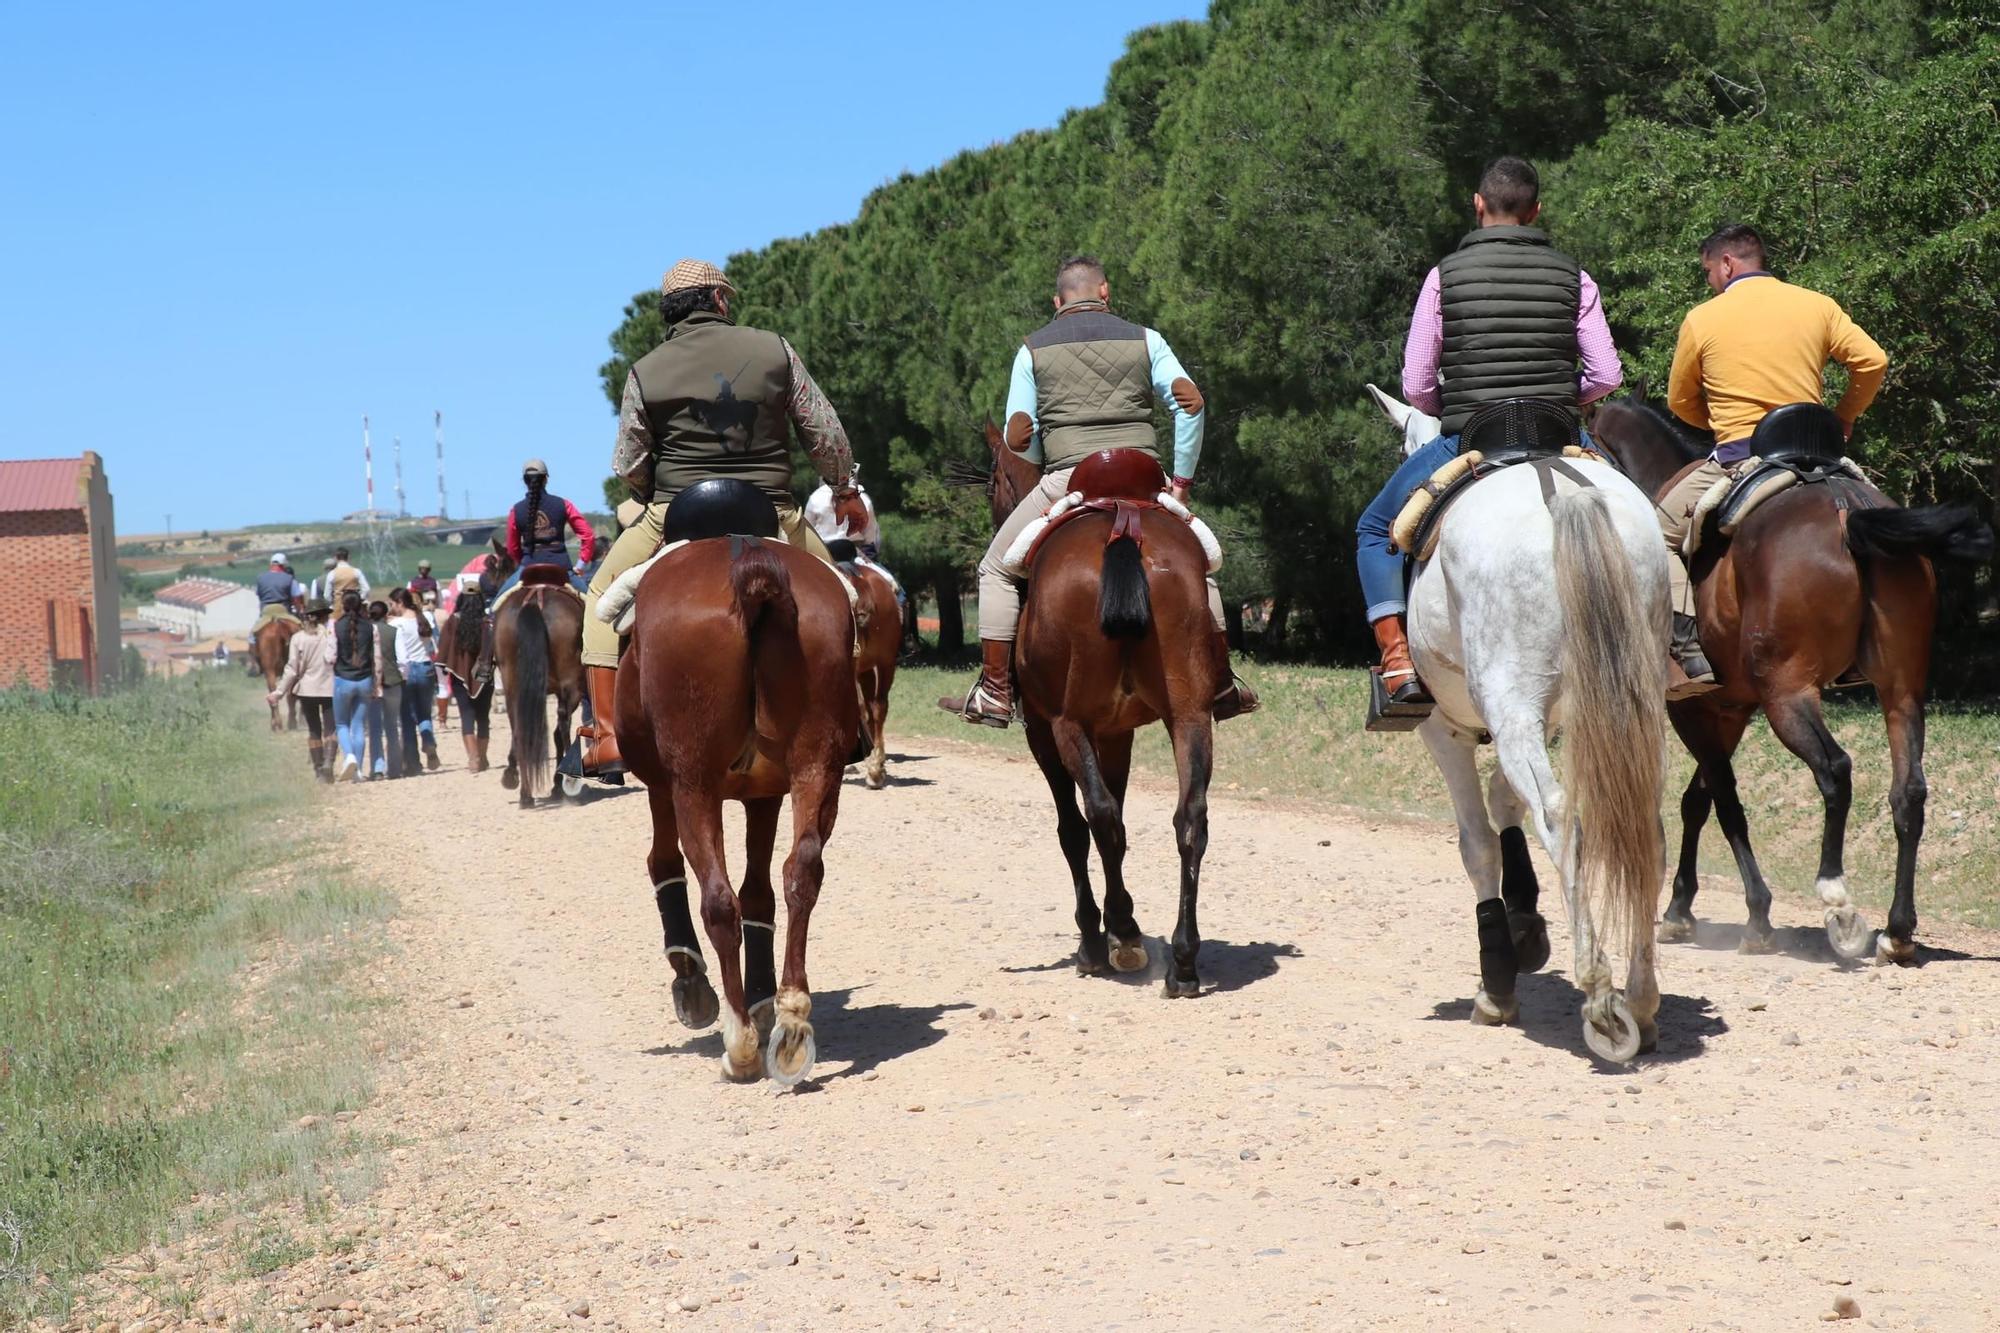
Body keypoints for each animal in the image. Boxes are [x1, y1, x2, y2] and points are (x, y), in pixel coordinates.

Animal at [488, 540, 588, 808]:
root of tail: (536, 598)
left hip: (515, 683)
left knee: (521, 725)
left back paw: (525, 791)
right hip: (569, 685)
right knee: (562, 725)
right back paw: (566, 784)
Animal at [612, 482, 856, 1088]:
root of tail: (746, 559)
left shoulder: (665, 786)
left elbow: (665, 864)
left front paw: (692, 982)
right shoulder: (765, 793)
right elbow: (761, 893)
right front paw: (767, 997)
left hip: (693, 783)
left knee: (718, 900)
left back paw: (740, 1042)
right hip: (818, 766)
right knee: (801, 872)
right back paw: (790, 1024)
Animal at [980, 420, 1216, 992]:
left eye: (993, 480)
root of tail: (1122, 529)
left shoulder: (1046, 731)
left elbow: (1075, 829)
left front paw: (1099, 935)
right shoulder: (1116, 732)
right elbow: (1124, 819)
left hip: (1066, 725)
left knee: (1098, 820)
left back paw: (1119, 937)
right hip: (1191, 717)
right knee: (1190, 819)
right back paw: (1182, 960)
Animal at [1376, 392, 1672, 1056]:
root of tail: (1559, 491)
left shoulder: (1447, 729)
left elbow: (1478, 842)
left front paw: (1497, 982)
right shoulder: (1548, 719)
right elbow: (1506, 801)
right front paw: (1525, 925)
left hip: (1508, 709)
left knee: (1561, 817)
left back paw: (1601, 997)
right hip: (1626, 705)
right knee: (1641, 819)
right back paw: (1642, 1001)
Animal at [1592, 400, 1984, 960]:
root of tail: (1846, 508)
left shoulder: (1690, 706)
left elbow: (1724, 800)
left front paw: (1756, 915)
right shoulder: (1730, 708)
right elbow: (1698, 800)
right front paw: (1680, 909)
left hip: (1789, 696)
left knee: (1835, 770)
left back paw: (1838, 902)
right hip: (1900, 692)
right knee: (1908, 791)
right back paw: (1898, 930)